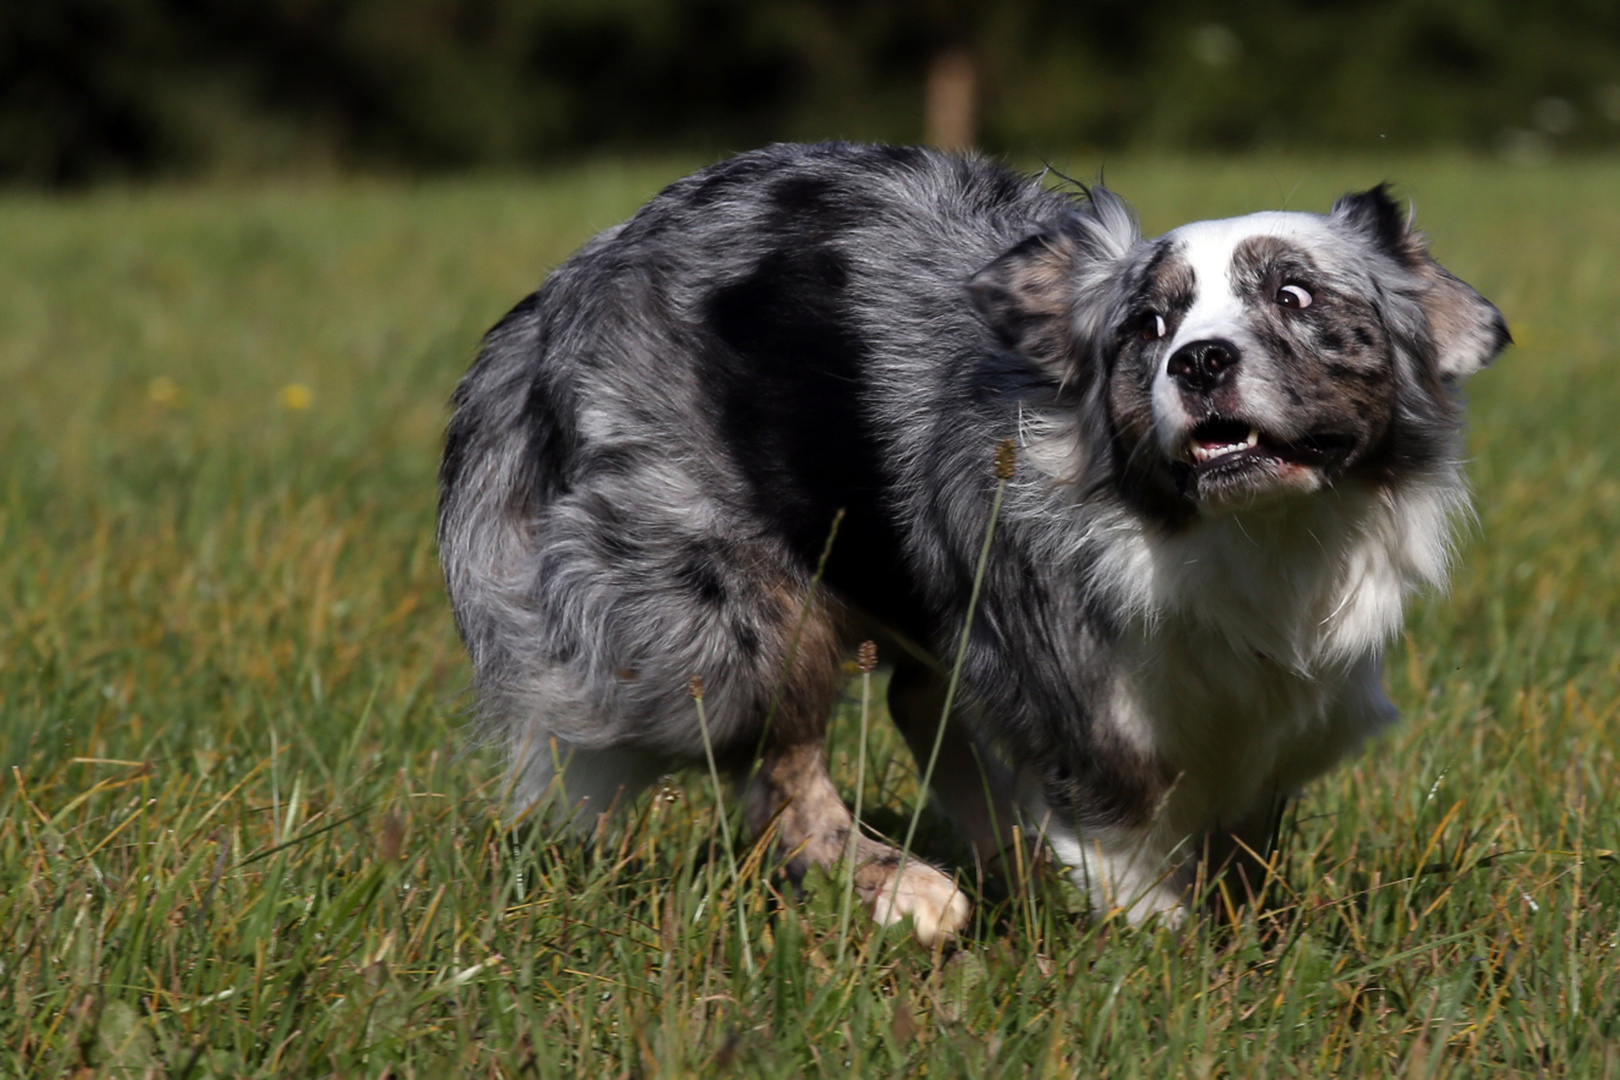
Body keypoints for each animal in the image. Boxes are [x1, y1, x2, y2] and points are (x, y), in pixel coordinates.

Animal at [440, 141, 1503, 939]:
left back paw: (1006, 868)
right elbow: (1123, 823)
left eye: (1295, 296)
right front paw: (1163, 947)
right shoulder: (1067, 677)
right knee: (774, 769)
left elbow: (1245, 818)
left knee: (912, 701)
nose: (1199, 361)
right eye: (1148, 326)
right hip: (728, 587)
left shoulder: (1286, 709)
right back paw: (914, 892)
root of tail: (563, 287)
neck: (1246, 536)